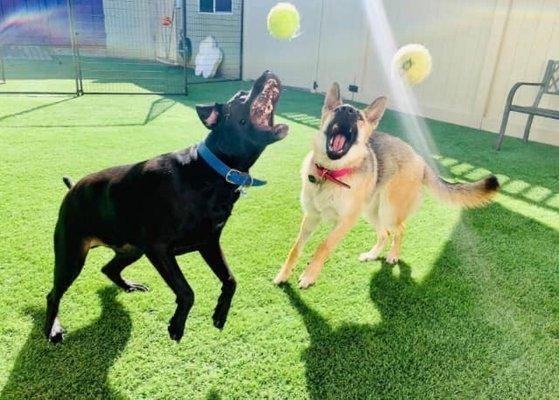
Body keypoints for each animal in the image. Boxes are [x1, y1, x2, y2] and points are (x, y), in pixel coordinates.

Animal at [45, 71, 288, 340]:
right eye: (240, 97)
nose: (267, 73)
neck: (214, 172)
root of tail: (72, 188)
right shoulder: (159, 249)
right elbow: (187, 291)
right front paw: (177, 325)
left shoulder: (209, 243)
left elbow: (231, 280)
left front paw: (220, 314)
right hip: (72, 257)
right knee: (53, 295)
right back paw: (52, 329)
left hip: (131, 250)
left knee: (108, 269)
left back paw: (128, 286)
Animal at [274, 83, 498, 288]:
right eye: (337, 110)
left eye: (359, 117)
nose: (346, 110)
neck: (330, 173)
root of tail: (420, 159)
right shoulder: (311, 218)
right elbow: (295, 248)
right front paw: (284, 273)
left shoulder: (345, 222)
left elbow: (323, 246)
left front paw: (309, 275)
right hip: (372, 212)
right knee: (385, 233)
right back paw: (371, 255)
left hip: (389, 211)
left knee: (400, 229)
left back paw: (393, 256)